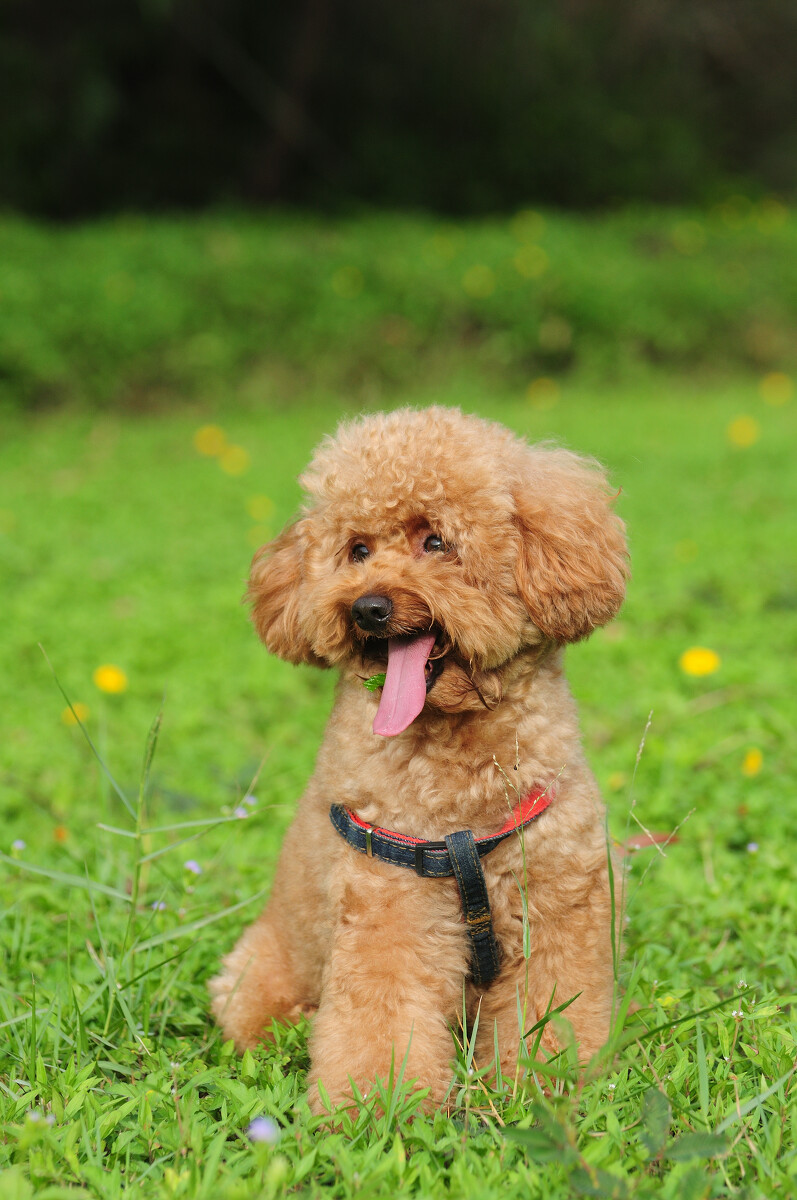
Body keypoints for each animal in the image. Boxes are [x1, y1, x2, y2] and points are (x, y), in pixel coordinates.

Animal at [210, 408, 628, 1108]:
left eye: (436, 541)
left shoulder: (559, 901)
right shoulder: (389, 902)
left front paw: (543, 1086)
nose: (367, 608)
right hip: (258, 966)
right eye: (357, 550)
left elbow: (553, 1012)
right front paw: (376, 1107)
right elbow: (382, 1017)